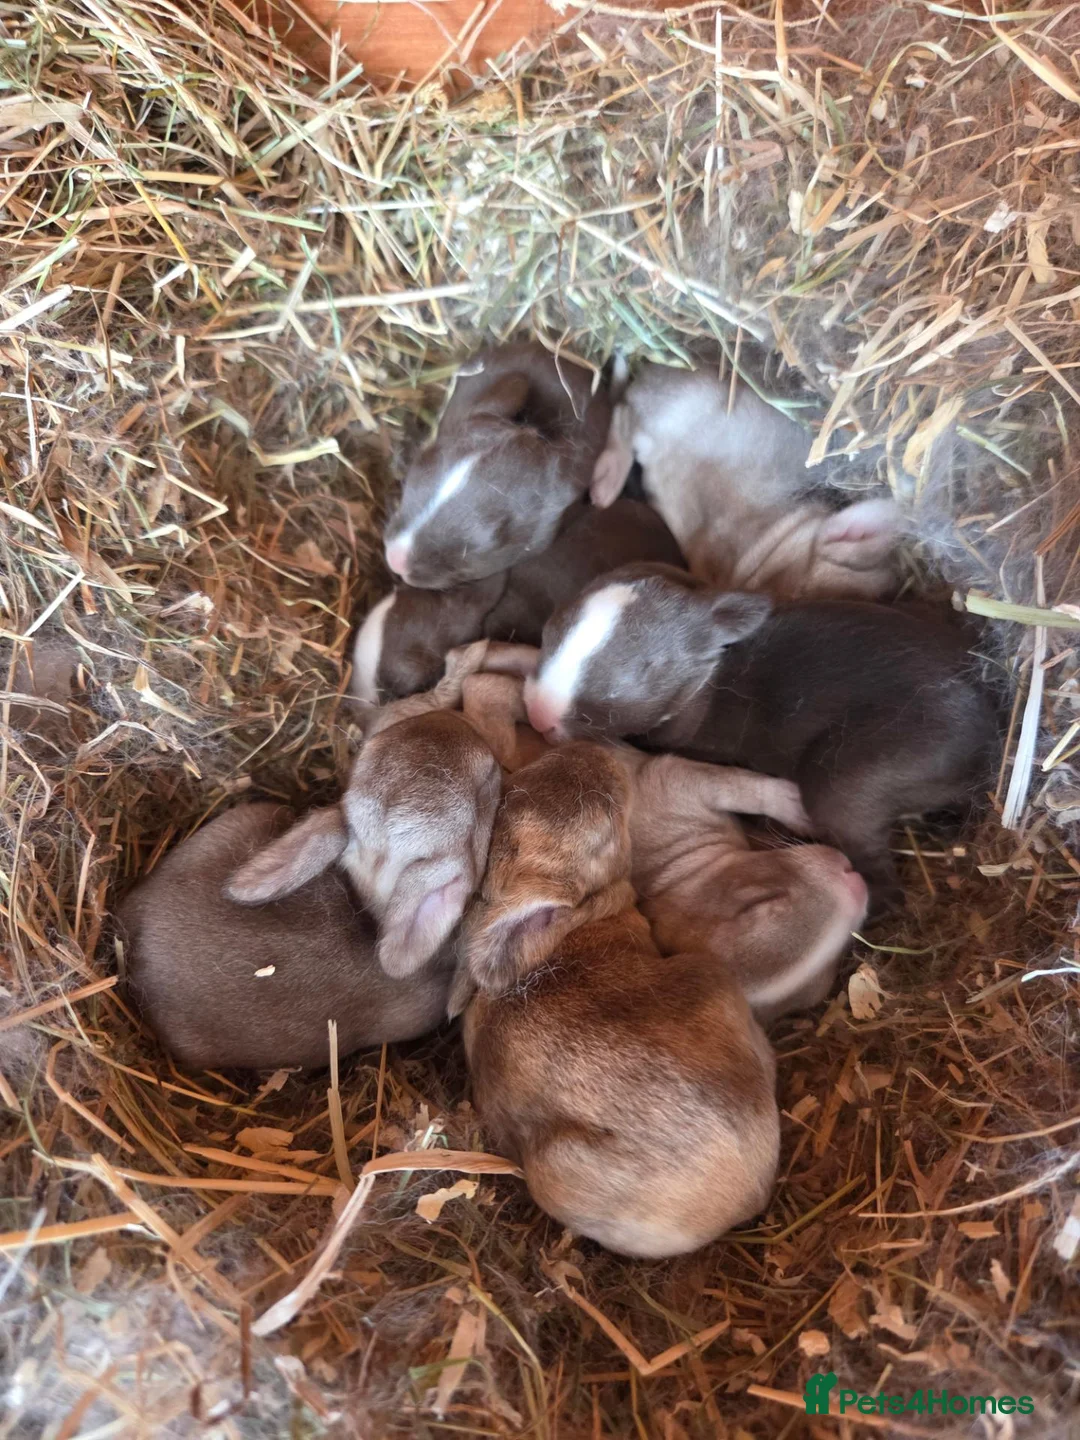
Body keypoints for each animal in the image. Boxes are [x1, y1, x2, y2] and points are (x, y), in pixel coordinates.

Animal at [522, 565, 1001, 894]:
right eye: (547, 633)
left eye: (628, 684)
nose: (538, 715)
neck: (710, 673)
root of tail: (988, 742)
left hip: (873, 766)